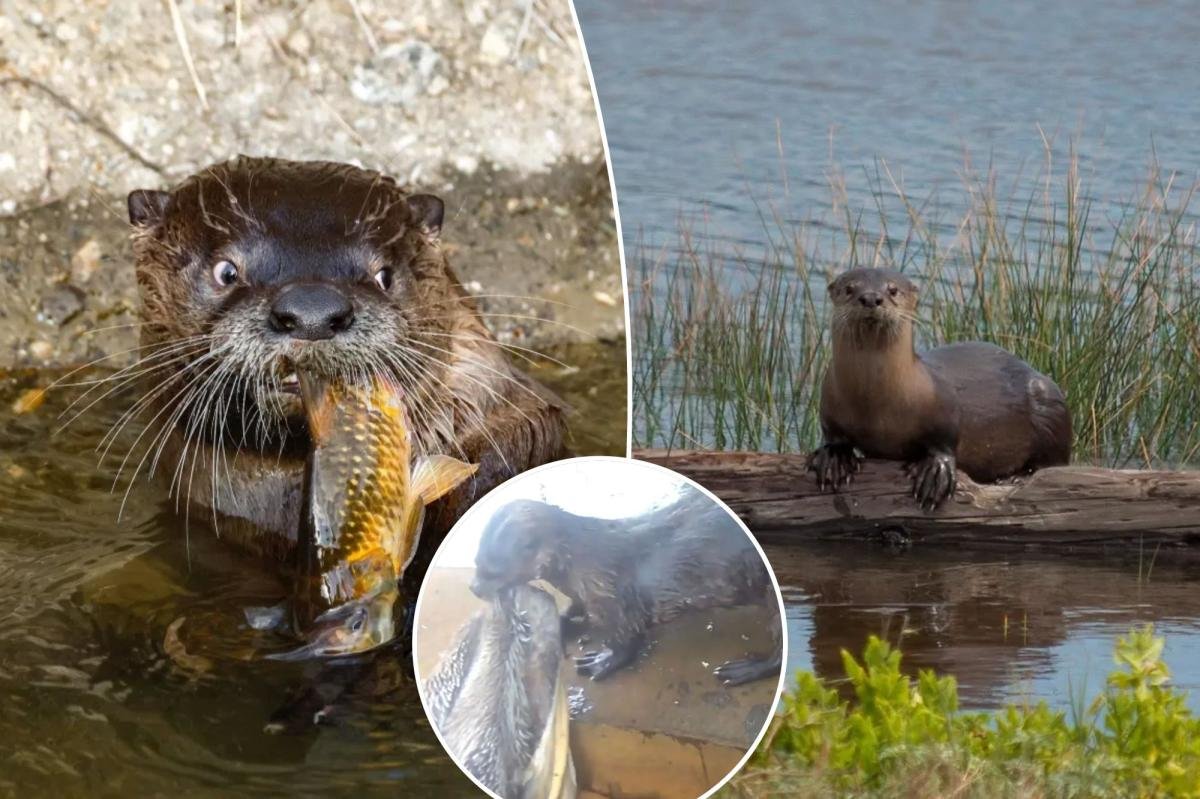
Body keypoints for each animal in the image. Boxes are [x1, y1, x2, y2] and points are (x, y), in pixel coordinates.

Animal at [469, 493, 782, 685]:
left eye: (493, 570)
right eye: (476, 561)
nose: (474, 588)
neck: (581, 561)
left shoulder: (614, 593)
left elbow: (628, 638)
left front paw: (600, 660)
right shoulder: (586, 593)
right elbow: (575, 610)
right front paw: (556, 622)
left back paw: (745, 669)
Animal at [810, 267, 1071, 510]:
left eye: (893, 289)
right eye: (849, 289)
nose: (871, 298)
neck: (873, 402)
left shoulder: (944, 407)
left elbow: (946, 441)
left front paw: (935, 472)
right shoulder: (830, 407)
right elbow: (833, 435)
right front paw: (834, 457)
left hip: (1050, 402)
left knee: (1054, 461)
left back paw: (1016, 477)